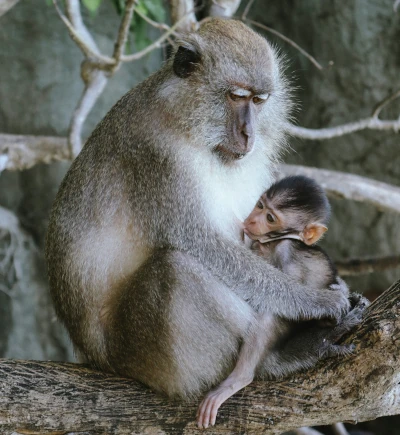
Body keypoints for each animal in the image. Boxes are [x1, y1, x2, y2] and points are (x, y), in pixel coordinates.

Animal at [45, 18, 354, 404]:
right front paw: (316, 301)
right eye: (236, 97)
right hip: (146, 355)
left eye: (258, 100)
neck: (184, 120)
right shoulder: (155, 156)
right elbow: (203, 244)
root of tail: (98, 359)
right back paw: (272, 361)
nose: (248, 133)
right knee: (177, 269)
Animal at [197, 175, 354, 430]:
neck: (281, 240)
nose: (251, 220)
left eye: (270, 218)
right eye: (260, 205)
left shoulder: (287, 252)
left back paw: (240, 377)